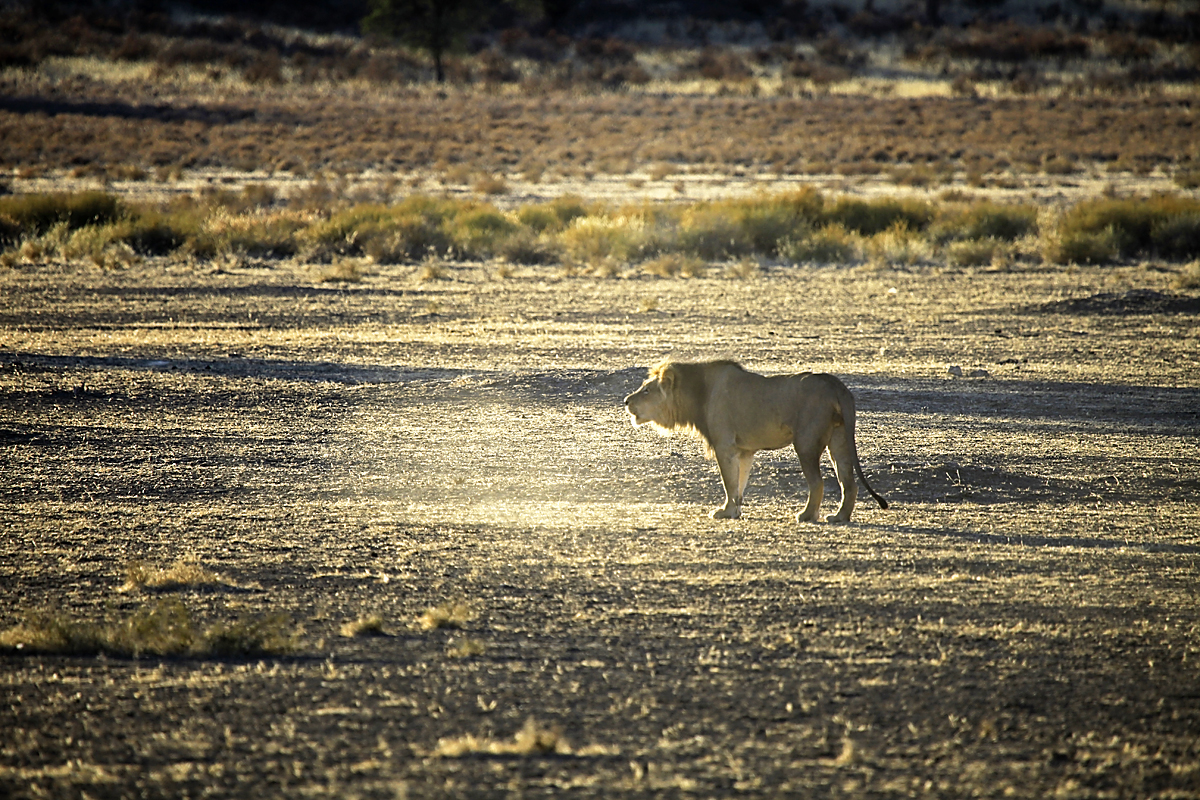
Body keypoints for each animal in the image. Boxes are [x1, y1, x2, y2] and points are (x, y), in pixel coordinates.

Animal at [624, 359, 888, 522]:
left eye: (646, 390)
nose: (626, 401)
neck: (697, 394)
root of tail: (837, 385)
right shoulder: (744, 451)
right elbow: (739, 482)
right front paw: (736, 510)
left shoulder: (725, 446)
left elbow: (729, 482)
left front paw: (725, 511)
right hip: (840, 439)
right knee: (849, 483)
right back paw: (839, 517)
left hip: (806, 442)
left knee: (818, 483)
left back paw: (806, 516)